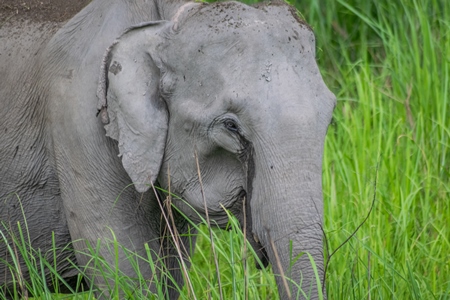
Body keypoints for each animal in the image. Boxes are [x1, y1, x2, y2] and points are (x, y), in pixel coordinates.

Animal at [0, 1, 334, 298]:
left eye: (330, 117)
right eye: (231, 126)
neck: (164, 27)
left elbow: (170, 275)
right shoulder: (78, 127)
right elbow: (126, 276)